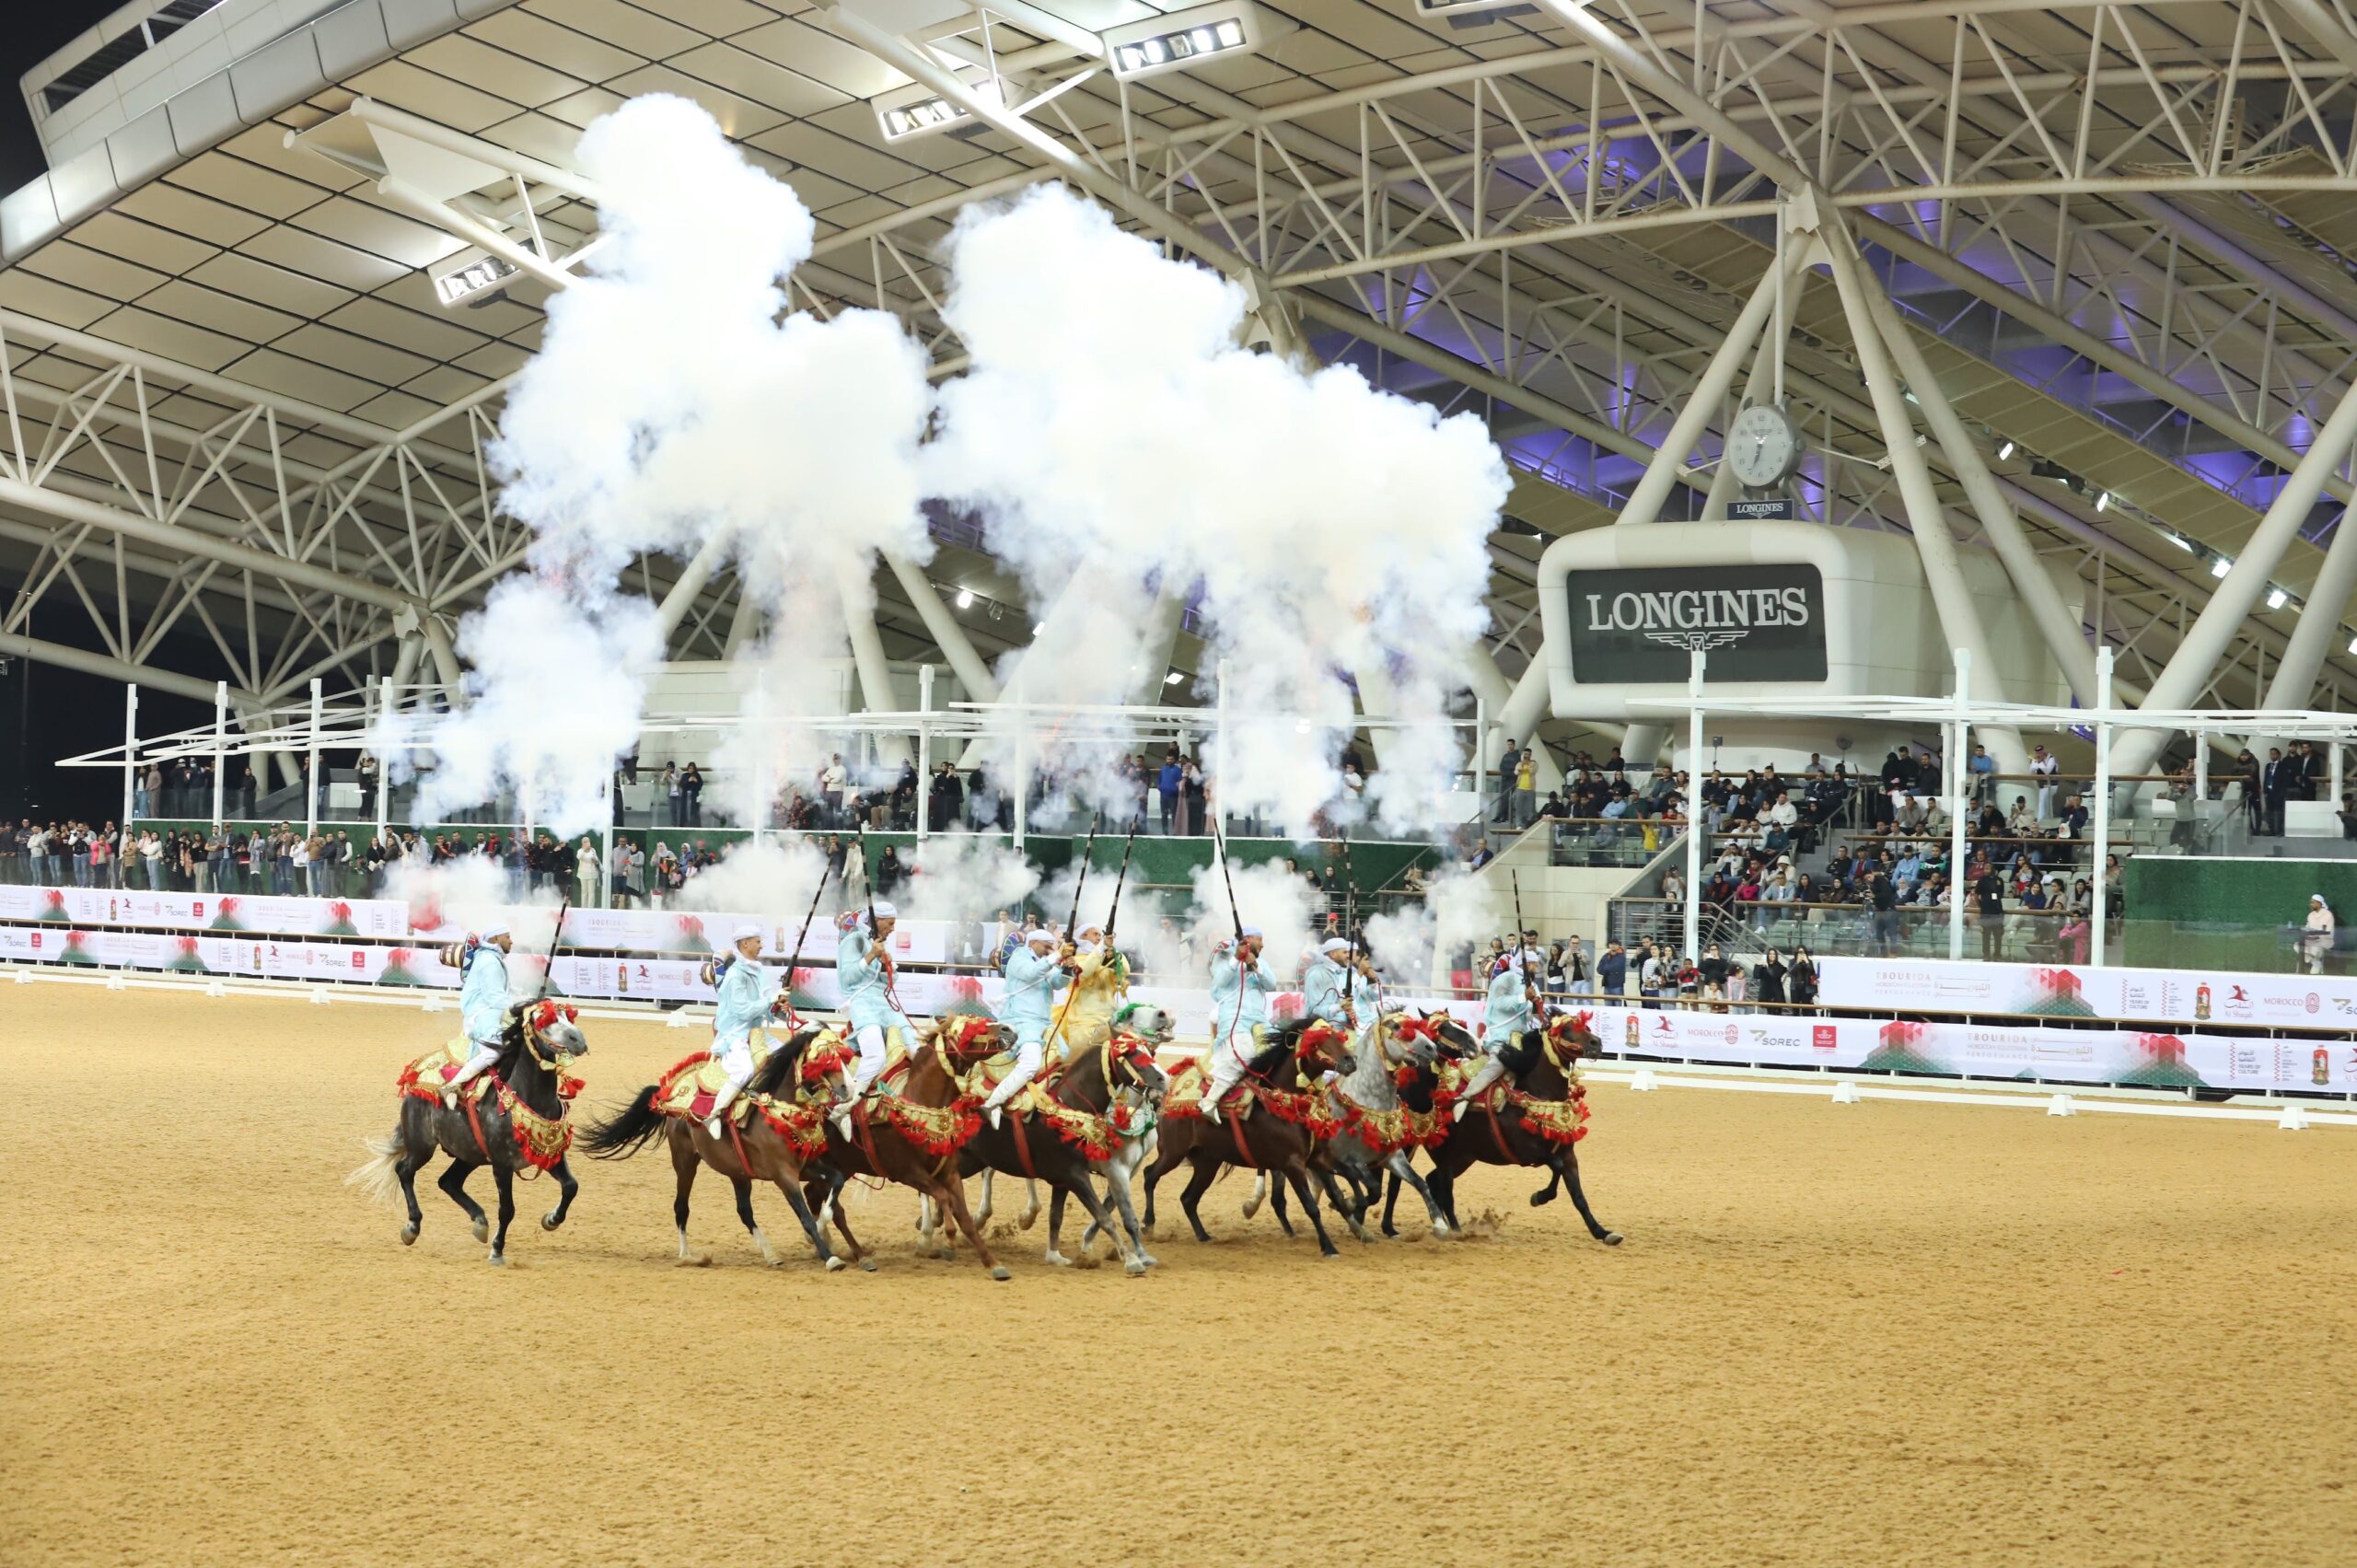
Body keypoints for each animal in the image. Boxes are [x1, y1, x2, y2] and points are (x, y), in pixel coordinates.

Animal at [346, 994, 589, 1263]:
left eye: (569, 1016)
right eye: (543, 1019)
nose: (577, 1039)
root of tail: (414, 1082)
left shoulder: (550, 1155)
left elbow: (571, 1186)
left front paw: (551, 1220)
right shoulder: (502, 1165)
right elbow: (507, 1209)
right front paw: (497, 1250)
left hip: (469, 1154)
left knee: (448, 1182)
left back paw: (480, 1222)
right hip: (422, 1147)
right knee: (405, 1171)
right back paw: (412, 1227)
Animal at [577, 1028, 857, 1272]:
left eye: (843, 1056)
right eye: (823, 1058)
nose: (850, 1088)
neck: (779, 1114)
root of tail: (670, 1095)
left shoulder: (806, 1166)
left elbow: (837, 1181)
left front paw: (822, 1227)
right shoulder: (783, 1175)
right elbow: (805, 1217)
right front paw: (830, 1257)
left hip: (738, 1172)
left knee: (744, 1211)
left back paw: (770, 1254)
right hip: (685, 1162)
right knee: (681, 1207)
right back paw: (687, 1256)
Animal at [801, 1014, 1013, 1283]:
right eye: (971, 1024)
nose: (1009, 1030)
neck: (920, 1103)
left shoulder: (950, 1173)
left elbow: (965, 1218)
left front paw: (992, 1263)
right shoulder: (907, 1173)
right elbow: (943, 1198)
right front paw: (948, 1241)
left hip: (843, 1168)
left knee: (813, 1195)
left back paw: (836, 1246)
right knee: (833, 1208)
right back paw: (853, 1252)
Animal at [1145, 1014, 1366, 1263]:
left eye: (1338, 1035)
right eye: (1318, 1040)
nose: (1351, 1060)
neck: (1286, 1103)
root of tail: (1167, 1096)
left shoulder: (1318, 1158)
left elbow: (1350, 1175)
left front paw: (1357, 1210)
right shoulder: (1292, 1165)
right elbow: (1311, 1207)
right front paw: (1328, 1246)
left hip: (1207, 1163)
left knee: (1188, 1199)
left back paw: (1203, 1235)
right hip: (1173, 1153)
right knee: (1150, 1176)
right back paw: (1148, 1225)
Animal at [1386, 1004, 1631, 1245]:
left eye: (1585, 1025)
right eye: (1566, 1029)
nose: (1596, 1043)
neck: (1537, 1094)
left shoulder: (1568, 1154)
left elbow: (1578, 1196)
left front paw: (1602, 1232)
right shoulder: (1529, 1153)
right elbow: (1556, 1168)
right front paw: (1539, 1197)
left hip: (1463, 1158)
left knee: (1432, 1181)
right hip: (1445, 1156)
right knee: (1441, 1191)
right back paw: (1453, 1230)